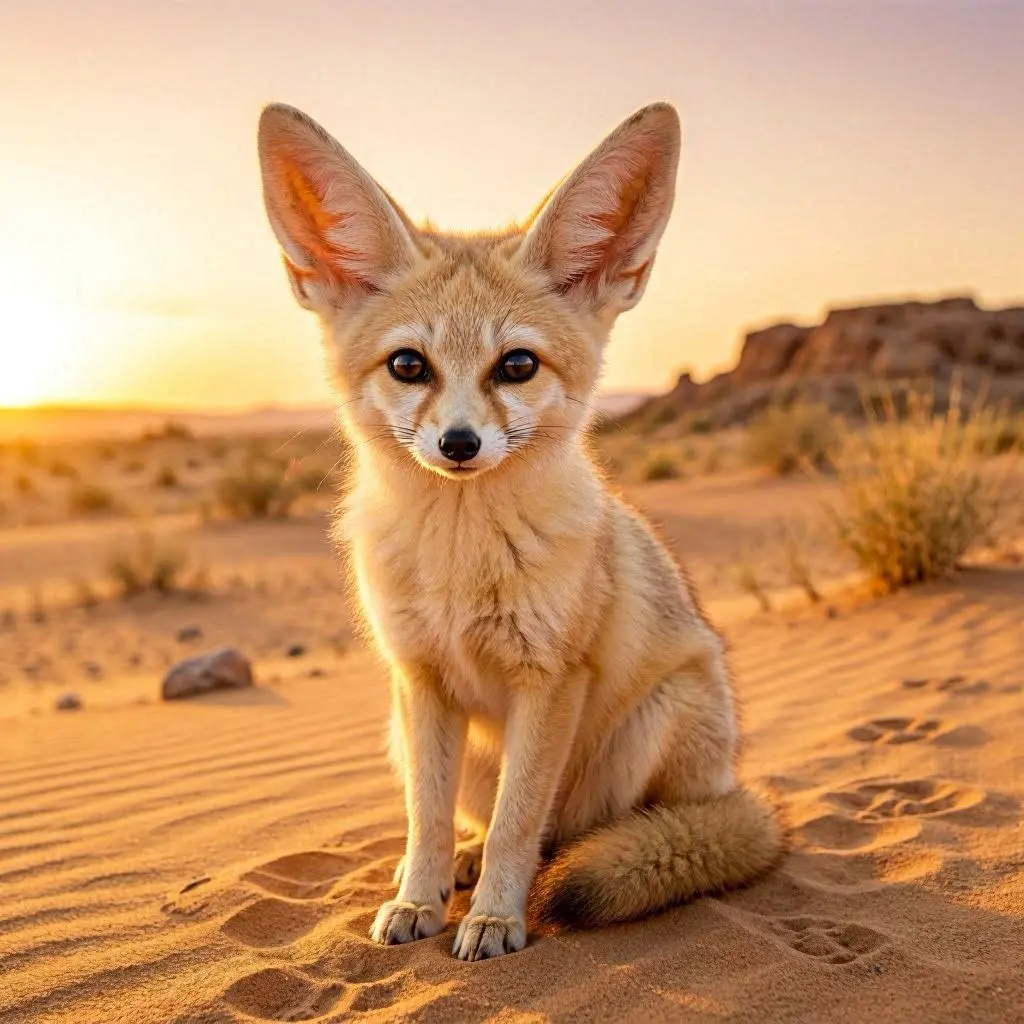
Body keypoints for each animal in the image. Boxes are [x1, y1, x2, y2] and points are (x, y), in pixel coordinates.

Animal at [256, 101, 784, 961]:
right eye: (409, 366)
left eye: (517, 367)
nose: (459, 444)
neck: (458, 567)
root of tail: (735, 784)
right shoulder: (421, 682)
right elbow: (425, 819)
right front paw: (419, 900)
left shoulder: (550, 680)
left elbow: (517, 822)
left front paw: (497, 919)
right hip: (410, 734)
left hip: (655, 721)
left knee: (574, 832)